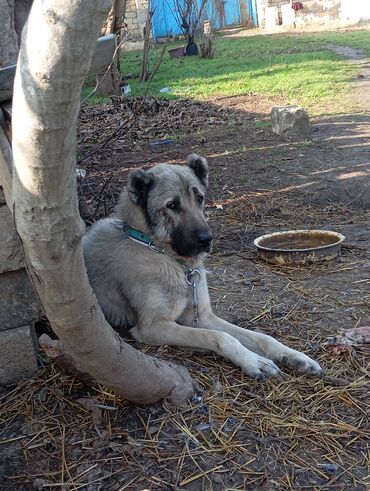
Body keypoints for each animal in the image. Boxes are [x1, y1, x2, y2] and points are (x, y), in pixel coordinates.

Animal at [83, 156, 320, 378]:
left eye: (199, 198)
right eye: (171, 205)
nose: (207, 240)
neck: (158, 250)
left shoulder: (201, 316)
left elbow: (260, 337)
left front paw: (293, 355)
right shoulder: (153, 326)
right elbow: (221, 336)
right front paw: (252, 360)